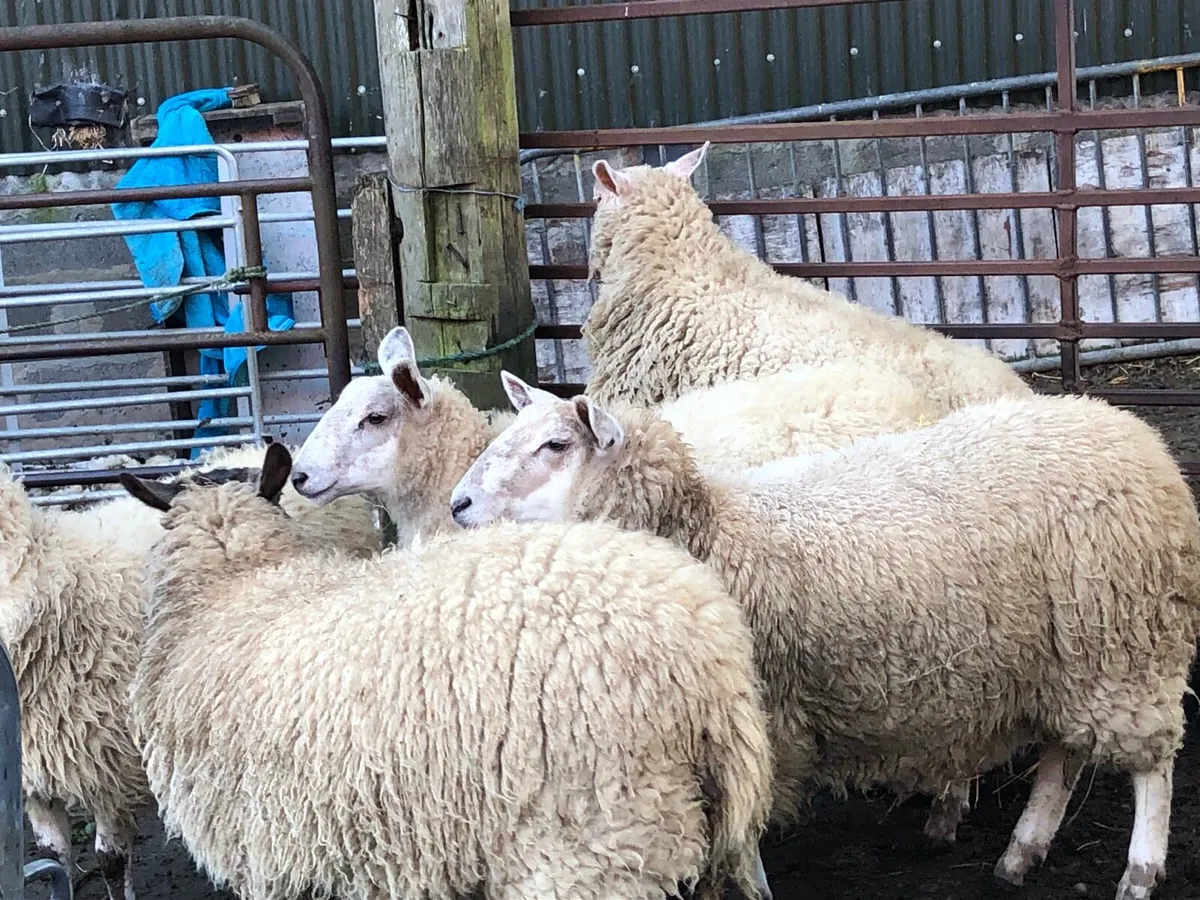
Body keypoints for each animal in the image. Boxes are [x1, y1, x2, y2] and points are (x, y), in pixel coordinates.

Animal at [450, 374, 1200, 900]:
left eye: (556, 445)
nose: (457, 505)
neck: (713, 527)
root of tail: (1128, 428)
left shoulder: (758, 718)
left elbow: (744, 831)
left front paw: (752, 886)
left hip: (1127, 641)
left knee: (1151, 763)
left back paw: (1140, 869)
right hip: (1069, 651)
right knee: (1062, 752)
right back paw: (1023, 849)